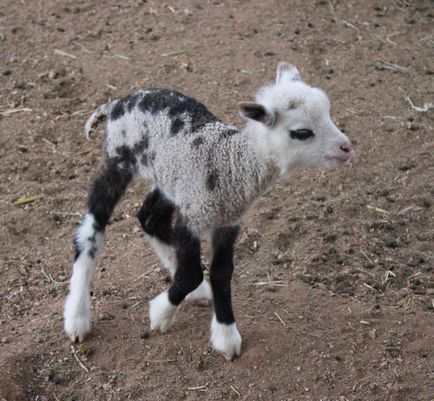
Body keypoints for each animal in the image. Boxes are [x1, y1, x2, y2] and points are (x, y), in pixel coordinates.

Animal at [62, 62, 352, 360]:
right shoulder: (192, 216)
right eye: (302, 133)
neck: (232, 163)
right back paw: (77, 317)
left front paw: (226, 334)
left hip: (168, 179)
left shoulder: (226, 221)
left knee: (149, 218)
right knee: (91, 231)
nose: (346, 147)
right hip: (116, 161)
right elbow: (191, 274)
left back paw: (193, 287)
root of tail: (118, 102)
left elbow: (221, 273)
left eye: (328, 113)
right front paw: (161, 315)